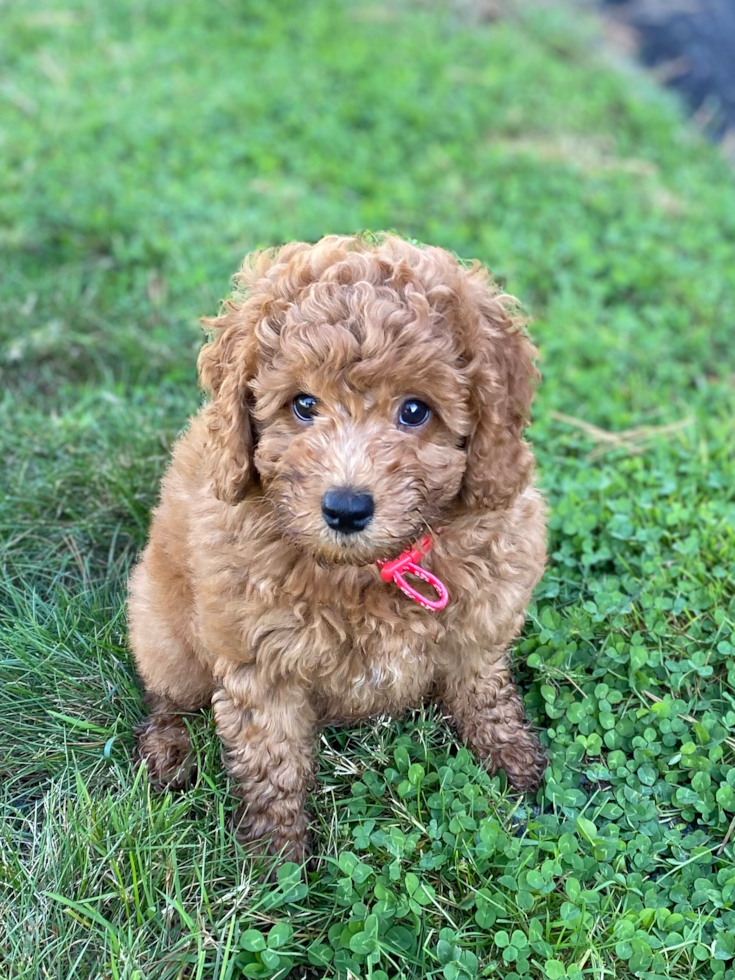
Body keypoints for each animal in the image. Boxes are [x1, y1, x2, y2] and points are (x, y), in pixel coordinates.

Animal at [129, 235, 548, 856]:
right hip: (163, 629)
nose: (346, 509)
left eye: (415, 410)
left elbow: (482, 687)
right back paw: (167, 751)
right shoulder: (260, 660)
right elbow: (272, 759)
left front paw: (511, 756)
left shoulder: (482, 613)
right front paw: (275, 856)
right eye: (303, 405)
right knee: (168, 694)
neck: (366, 569)